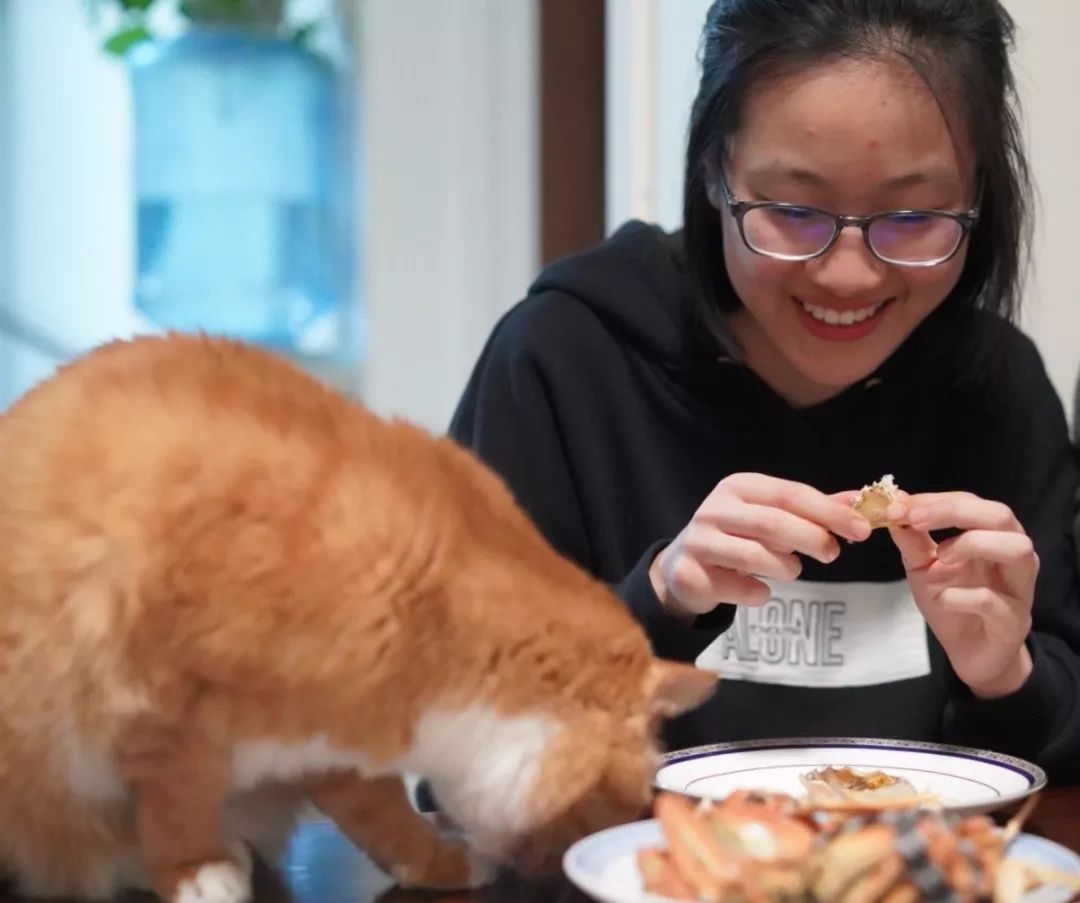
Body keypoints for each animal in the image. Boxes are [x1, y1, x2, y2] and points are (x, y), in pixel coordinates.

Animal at [0, 334, 717, 898]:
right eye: (616, 806)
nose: (568, 866)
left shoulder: (326, 745)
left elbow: (386, 820)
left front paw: (447, 862)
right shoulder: (164, 716)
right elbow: (179, 811)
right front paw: (200, 873)